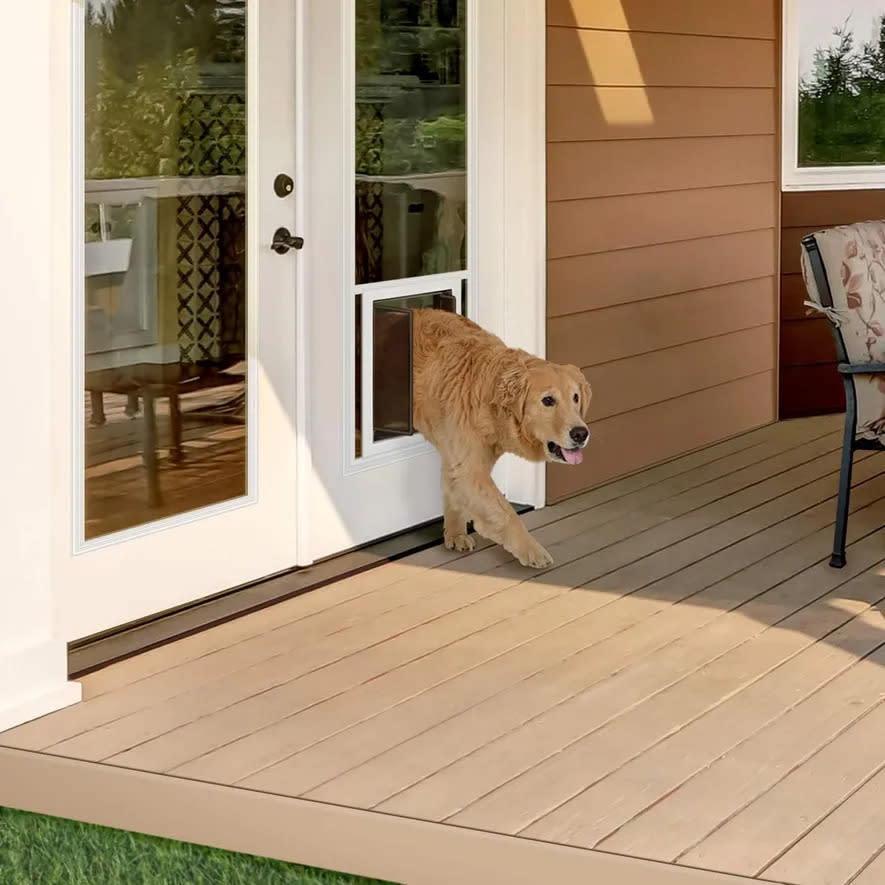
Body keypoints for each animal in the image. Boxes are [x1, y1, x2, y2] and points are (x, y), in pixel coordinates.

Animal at [410, 308, 592, 568]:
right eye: (548, 400)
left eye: (576, 397)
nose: (580, 433)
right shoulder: (470, 468)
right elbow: (504, 512)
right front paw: (532, 551)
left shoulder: (457, 457)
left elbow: (453, 490)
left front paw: (455, 534)